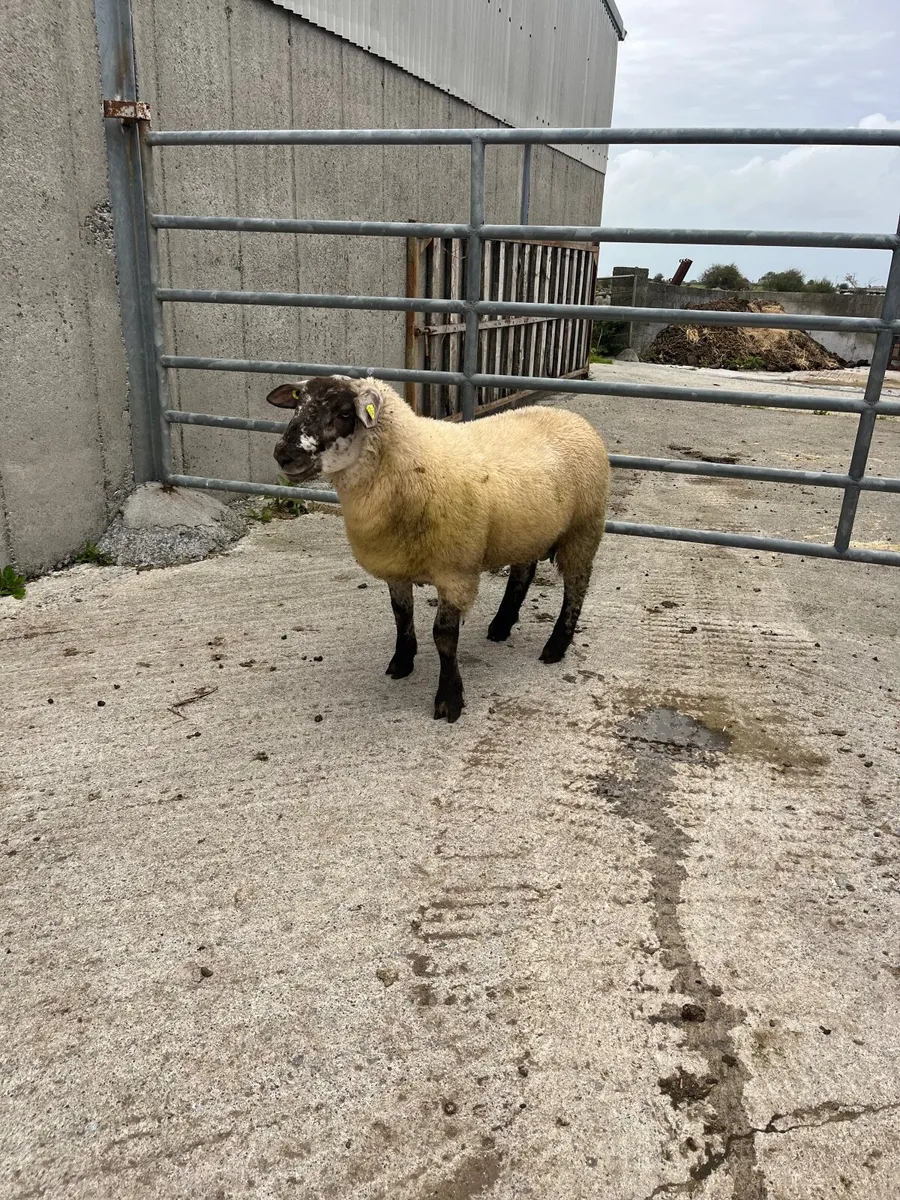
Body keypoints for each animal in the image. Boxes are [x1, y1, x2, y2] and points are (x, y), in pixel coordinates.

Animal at [267, 375, 609, 722]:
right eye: (297, 405)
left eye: (344, 413)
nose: (283, 455)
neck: (411, 460)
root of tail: (572, 417)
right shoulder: (396, 564)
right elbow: (401, 615)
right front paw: (402, 662)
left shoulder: (455, 571)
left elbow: (444, 636)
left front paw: (449, 698)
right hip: (527, 530)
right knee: (523, 571)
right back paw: (501, 625)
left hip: (584, 529)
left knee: (576, 586)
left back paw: (556, 645)